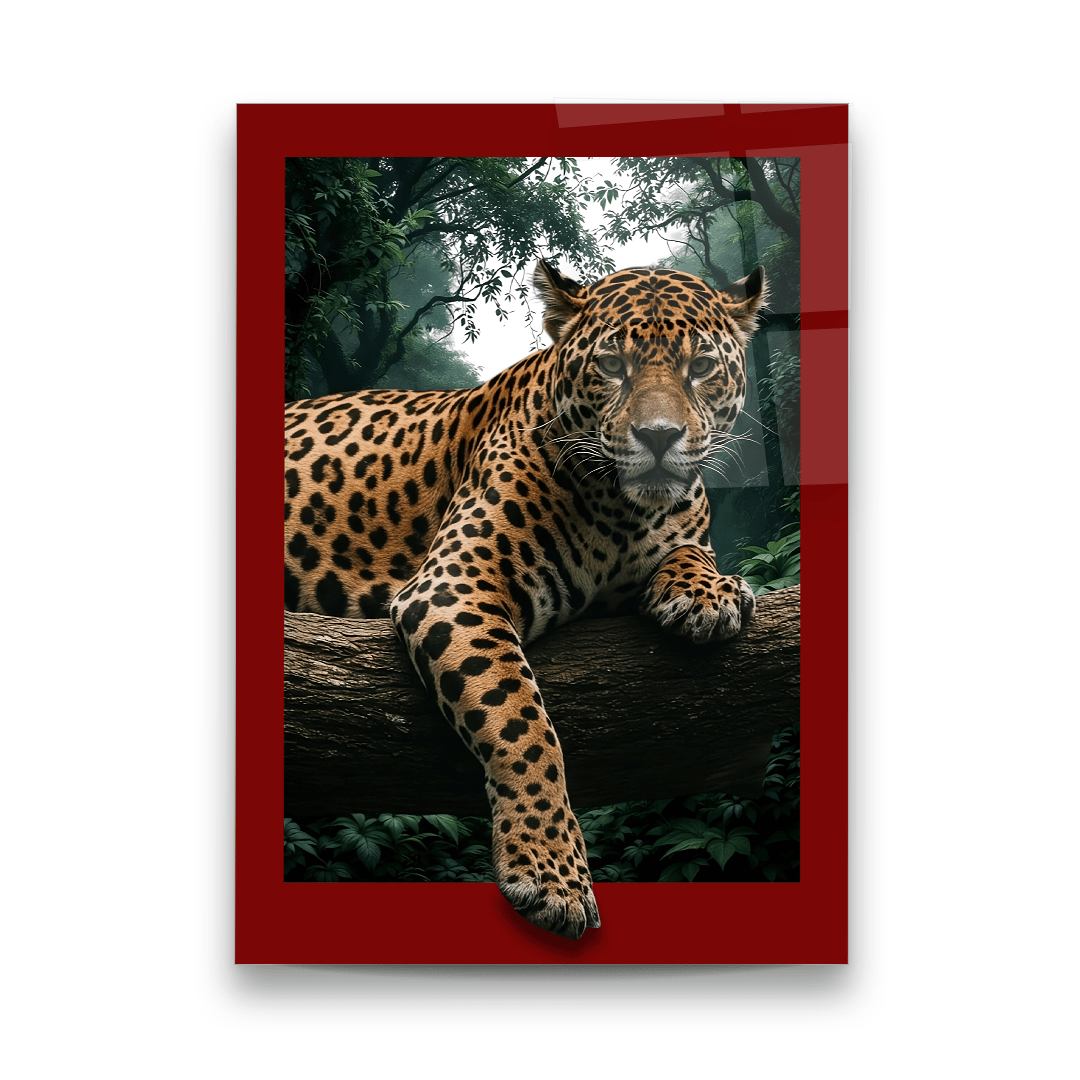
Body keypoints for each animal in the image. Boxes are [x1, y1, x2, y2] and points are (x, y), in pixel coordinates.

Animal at [284, 260, 767, 938]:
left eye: (700, 366)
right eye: (611, 365)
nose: (659, 437)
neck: (622, 513)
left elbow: (694, 549)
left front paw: (707, 593)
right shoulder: (455, 585)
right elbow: (523, 723)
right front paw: (549, 872)